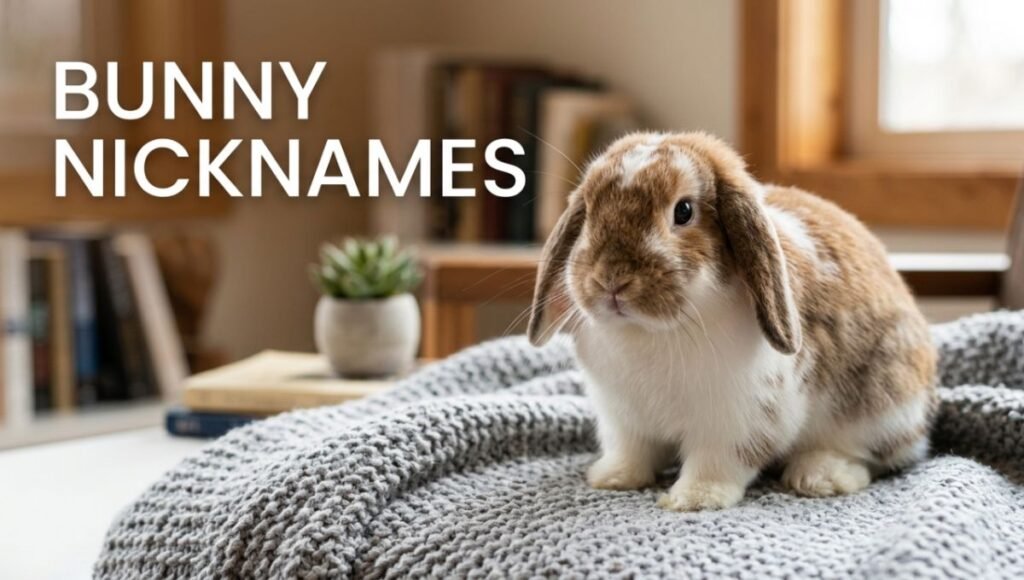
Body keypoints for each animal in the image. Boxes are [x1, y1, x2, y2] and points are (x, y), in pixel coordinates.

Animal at [527, 132, 937, 511]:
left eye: (684, 211)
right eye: (590, 210)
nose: (611, 280)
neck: (653, 331)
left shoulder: (737, 420)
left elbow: (719, 463)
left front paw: (693, 499)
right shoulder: (622, 419)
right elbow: (631, 452)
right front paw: (613, 478)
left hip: (881, 404)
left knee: (874, 455)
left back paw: (821, 476)